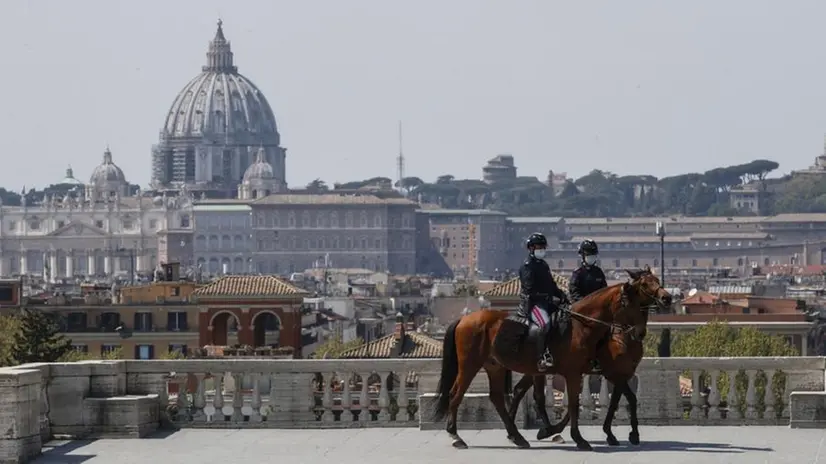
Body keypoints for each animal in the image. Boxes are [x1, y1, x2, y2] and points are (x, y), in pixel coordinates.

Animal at [432, 266, 668, 452]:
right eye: (645, 285)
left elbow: (619, 400)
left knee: (501, 397)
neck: (581, 327)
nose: (639, 332)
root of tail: (464, 319)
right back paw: (456, 436)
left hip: (496, 366)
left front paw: (622, 434)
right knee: (456, 394)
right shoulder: (583, 373)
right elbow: (576, 404)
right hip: (470, 365)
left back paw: (517, 436)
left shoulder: (614, 374)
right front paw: (581, 438)